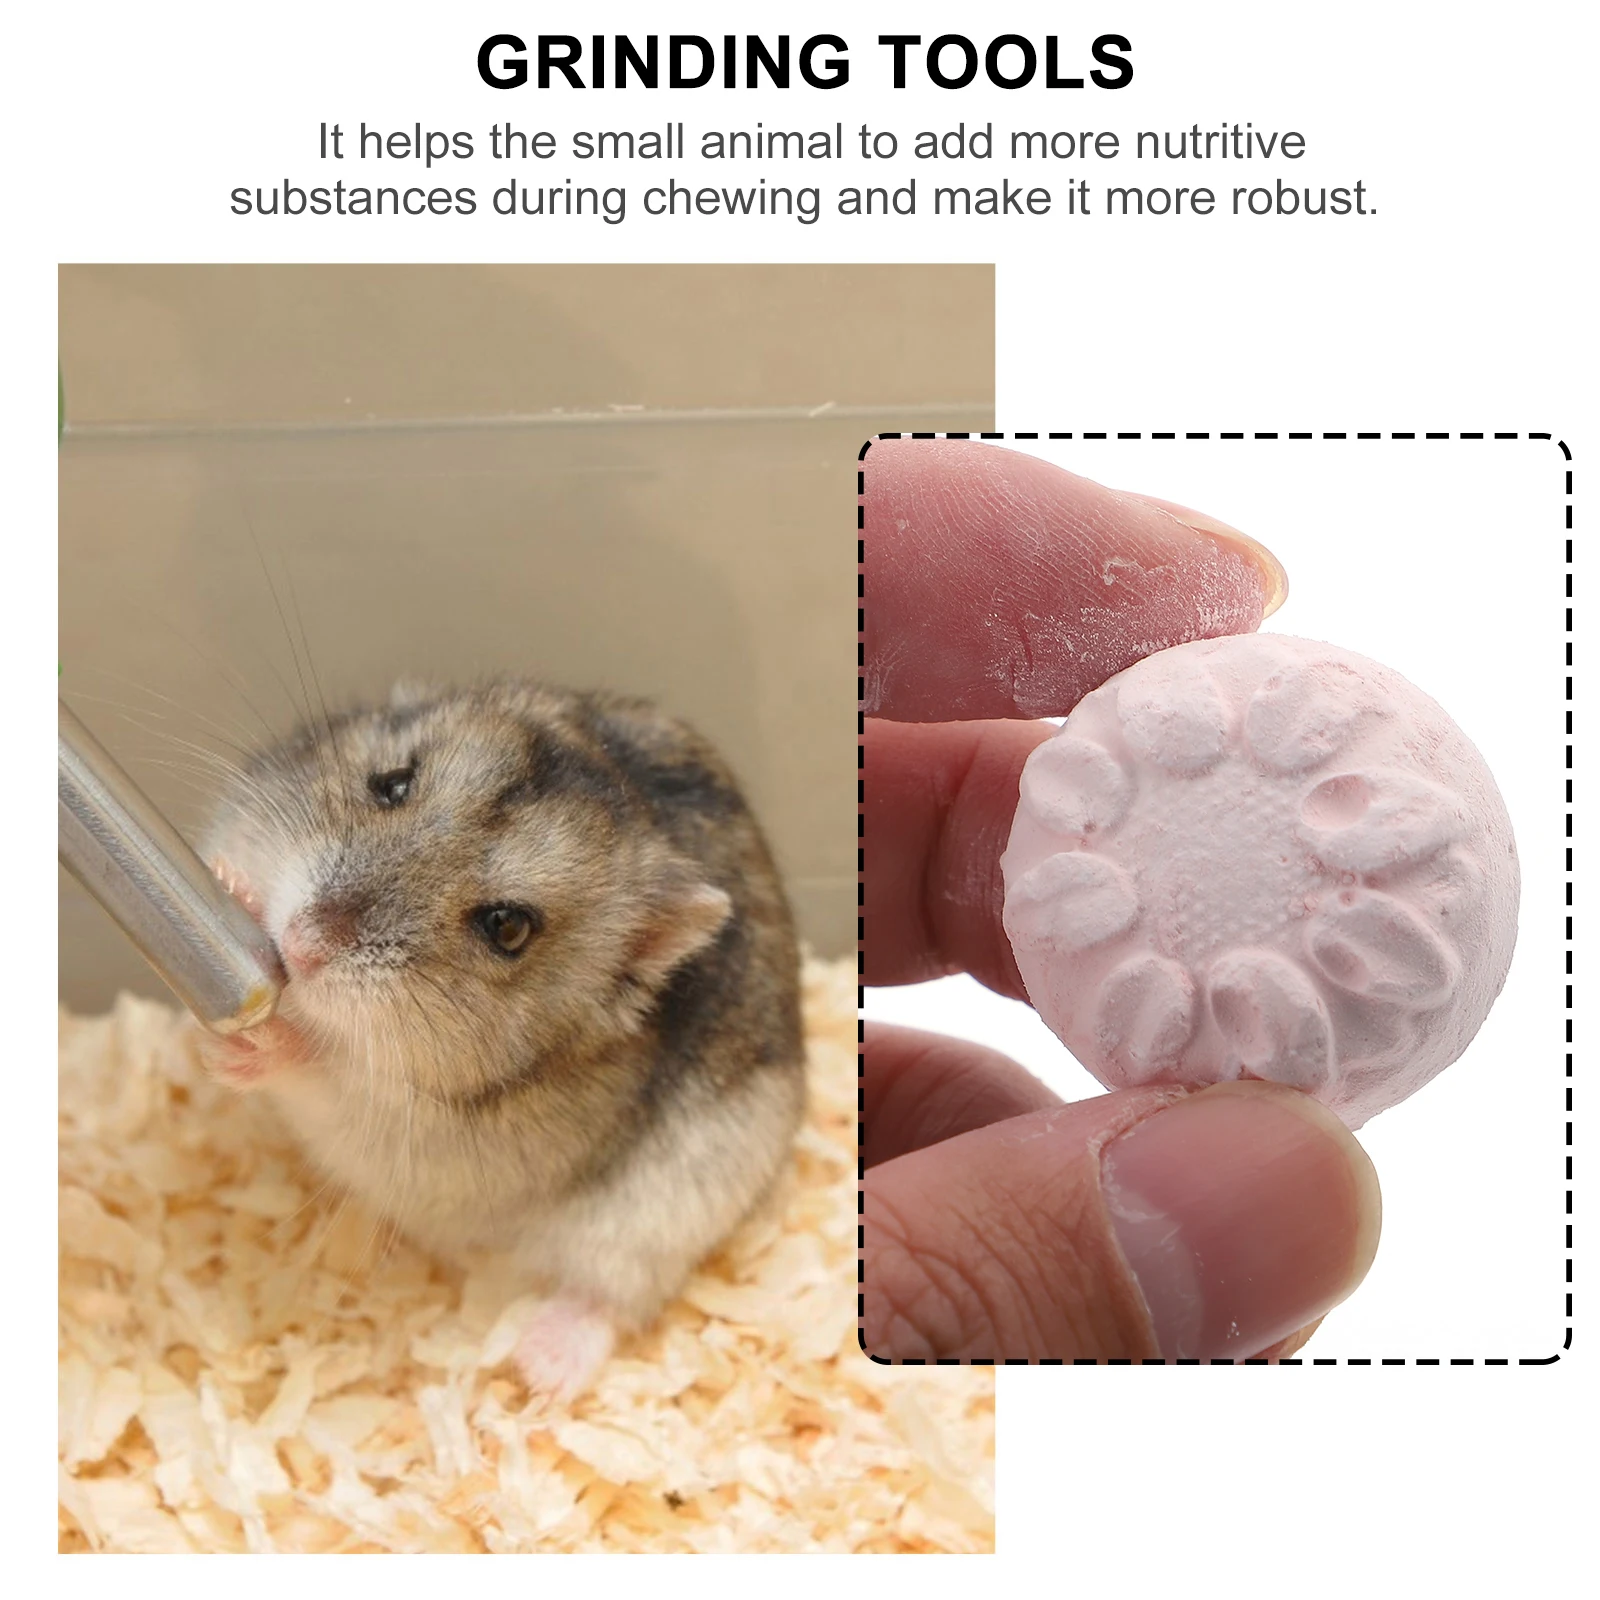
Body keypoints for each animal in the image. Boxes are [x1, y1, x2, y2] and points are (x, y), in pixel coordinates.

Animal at [199, 679, 805, 1400]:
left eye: (508, 927)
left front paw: (257, 1046)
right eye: (393, 784)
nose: (300, 945)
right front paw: (230, 881)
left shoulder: (420, 1132)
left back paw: (540, 1370)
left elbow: (327, 1073)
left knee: (611, 1296)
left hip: (662, 1221)